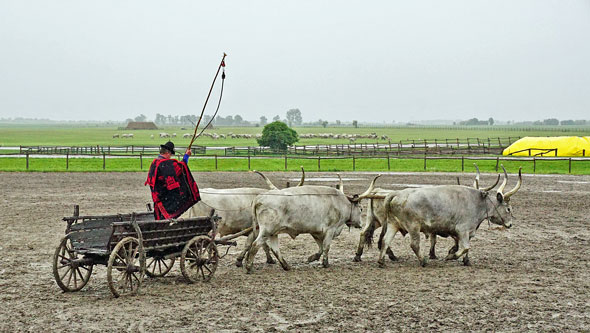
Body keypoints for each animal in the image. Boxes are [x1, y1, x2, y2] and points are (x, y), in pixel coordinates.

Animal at [244, 175, 380, 272]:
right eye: (361, 209)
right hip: (267, 231)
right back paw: (249, 266)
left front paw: (312, 258)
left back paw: (286, 266)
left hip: (273, 233)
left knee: (275, 249)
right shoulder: (330, 230)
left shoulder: (316, 232)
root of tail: (258, 198)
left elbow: (320, 248)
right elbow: (326, 247)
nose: (360, 224)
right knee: (255, 245)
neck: (340, 203)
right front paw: (325, 263)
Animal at [380, 166, 524, 268]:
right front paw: (451, 256)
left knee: (385, 241)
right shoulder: (462, 230)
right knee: (414, 244)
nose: (510, 224)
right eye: (508, 208)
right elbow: (465, 247)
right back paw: (423, 261)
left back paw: (381, 261)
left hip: (393, 224)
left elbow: (466, 247)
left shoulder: (468, 232)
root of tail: (397, 194)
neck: (477, 202)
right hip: (413, 226)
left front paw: (466, 260)